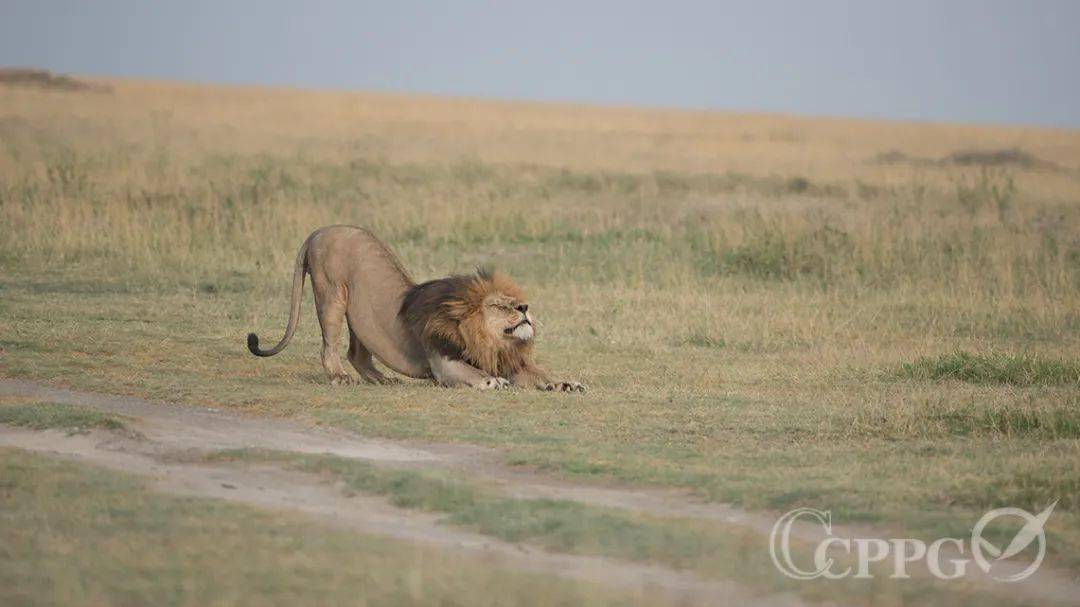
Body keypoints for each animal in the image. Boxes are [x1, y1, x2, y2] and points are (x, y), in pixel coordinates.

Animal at [246, 224, 587, 388]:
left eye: (516, 302)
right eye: (500, 306)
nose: (525, 307)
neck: (487, 340)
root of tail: (318, 231)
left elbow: (540, 373)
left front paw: (564, 383)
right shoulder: (443, 361)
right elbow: (469, 371)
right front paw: (491, 381)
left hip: (359, 314)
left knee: (356, 354)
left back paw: (383, 380)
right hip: (332, 293)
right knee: (329, 345)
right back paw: (339, 377)